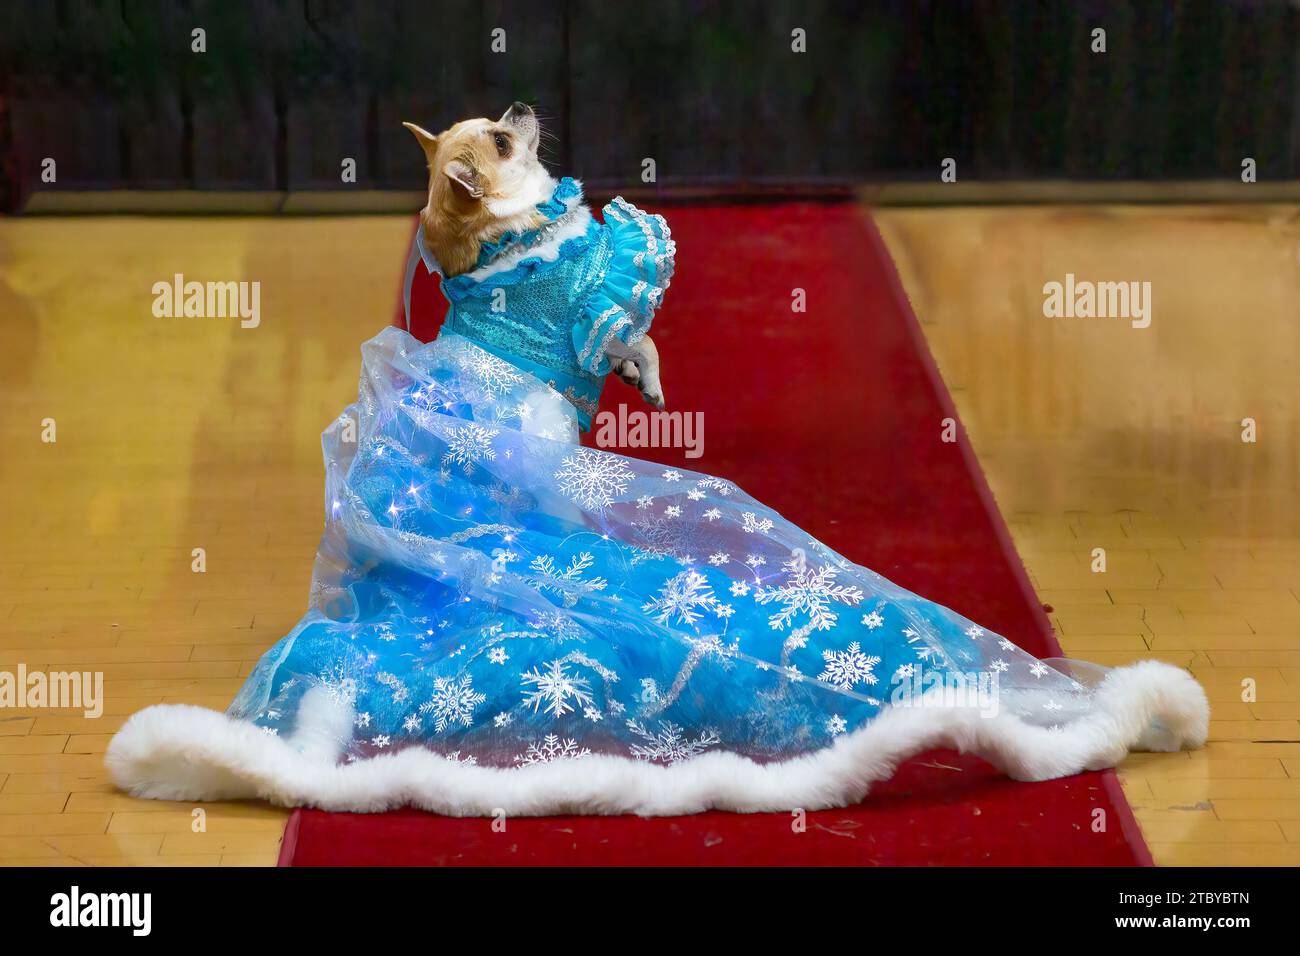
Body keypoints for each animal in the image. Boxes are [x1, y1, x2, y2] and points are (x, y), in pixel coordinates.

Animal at [403, 104, 670, 411]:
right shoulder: (588, 316)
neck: (516, 238)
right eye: (501, 144)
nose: (518, 105)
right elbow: (644, 342)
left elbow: (626, 336)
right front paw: (653, 384)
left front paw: (625, 367)